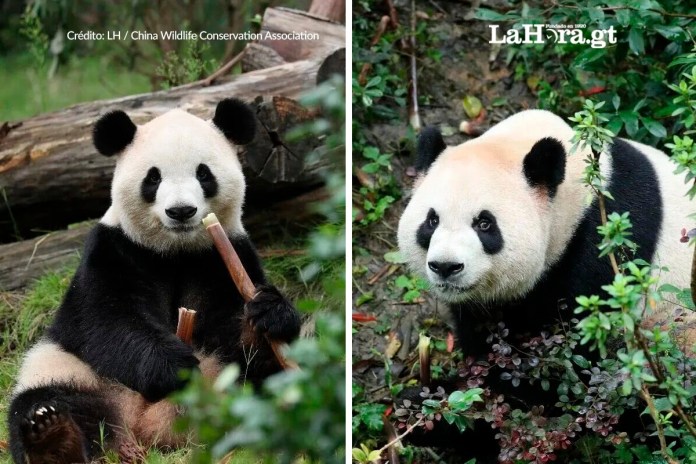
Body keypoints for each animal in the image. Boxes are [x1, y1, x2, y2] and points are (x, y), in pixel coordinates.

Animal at [7, 99, 301, 464]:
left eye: (203, 173)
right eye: (153, 177)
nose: (181, 211)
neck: (175, 252)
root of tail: (144, 430)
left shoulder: (224, 256)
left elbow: (232, 331)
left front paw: (267, 314)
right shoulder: (113, 250)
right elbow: (106, 319)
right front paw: (173, 365)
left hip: (227, 383)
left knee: (268, 383)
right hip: (69, 368)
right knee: (45, 399)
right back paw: (53, 438)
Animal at [397, 110, 695, 457]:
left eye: (484, 224)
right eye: (432, 221)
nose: (445, 266)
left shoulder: (604, 250)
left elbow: (557, 376)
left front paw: (445, 417)